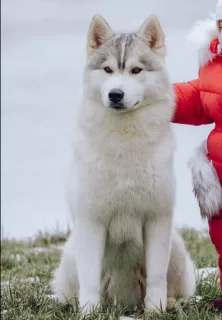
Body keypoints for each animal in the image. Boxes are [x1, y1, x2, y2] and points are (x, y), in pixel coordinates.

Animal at [52, 15, 196, 316]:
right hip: (72, 251)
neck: (124, 143)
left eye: (136, 70)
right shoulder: (91, 221)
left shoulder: (157, 218)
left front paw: (155, 311)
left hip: (175, 246)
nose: (115, 94)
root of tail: (125, 302)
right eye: (107, 69)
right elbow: (90, 280)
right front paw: (89, 313)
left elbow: (156, 277)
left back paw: (172, 303)